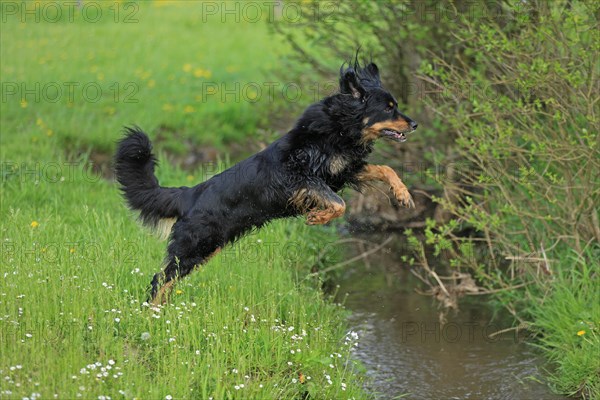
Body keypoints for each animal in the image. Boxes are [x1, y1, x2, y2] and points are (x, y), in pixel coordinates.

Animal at [116, 58, 418, 304]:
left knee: (166, 281)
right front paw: (317, 217)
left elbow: (385, 169)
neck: (339, 129)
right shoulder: (298, 176)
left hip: (207, 248)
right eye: (388, 109)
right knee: (159, 280)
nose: (415, 124)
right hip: (195, 246)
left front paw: (403, 194)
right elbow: (339, 203)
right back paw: (151, 316)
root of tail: (189, 194)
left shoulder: (342, 170)